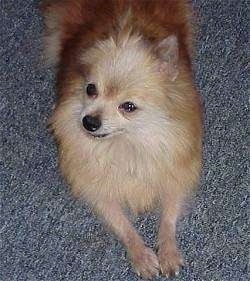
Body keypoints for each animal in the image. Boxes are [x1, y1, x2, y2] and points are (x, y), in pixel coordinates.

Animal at [41, 0, 201, 276]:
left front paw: (168, 251)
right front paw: (141, 255)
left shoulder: (176, 176)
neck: (128, 142)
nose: (89, 121)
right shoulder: (97, 191)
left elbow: (168, 217)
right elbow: (123, 226)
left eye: (128, 107)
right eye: (90, 89)